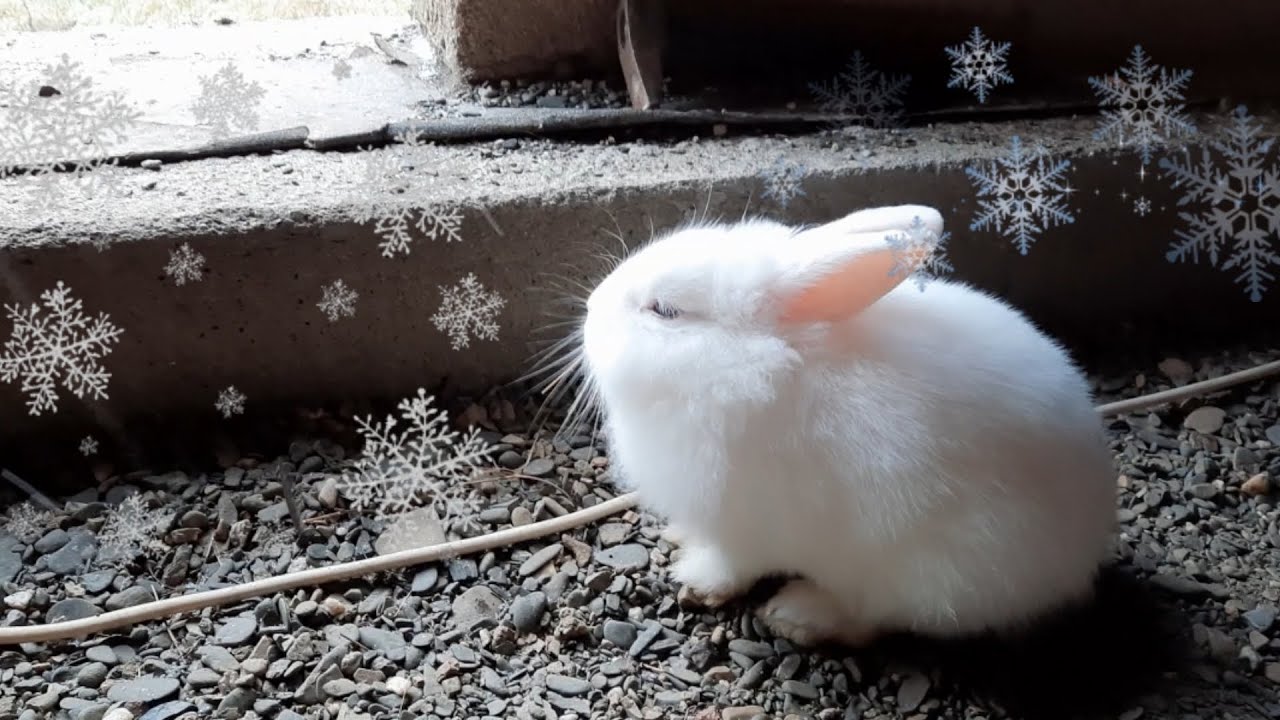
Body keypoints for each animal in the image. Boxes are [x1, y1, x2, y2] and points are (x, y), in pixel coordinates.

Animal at [579, 204, 1118, 648]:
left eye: (665, 310)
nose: (588, 308)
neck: (757, 367)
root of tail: (1080, 563)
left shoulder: (744, 522)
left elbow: (733, 565)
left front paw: (694, 578)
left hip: (925, 574)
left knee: (870, 619)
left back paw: (798, 615)